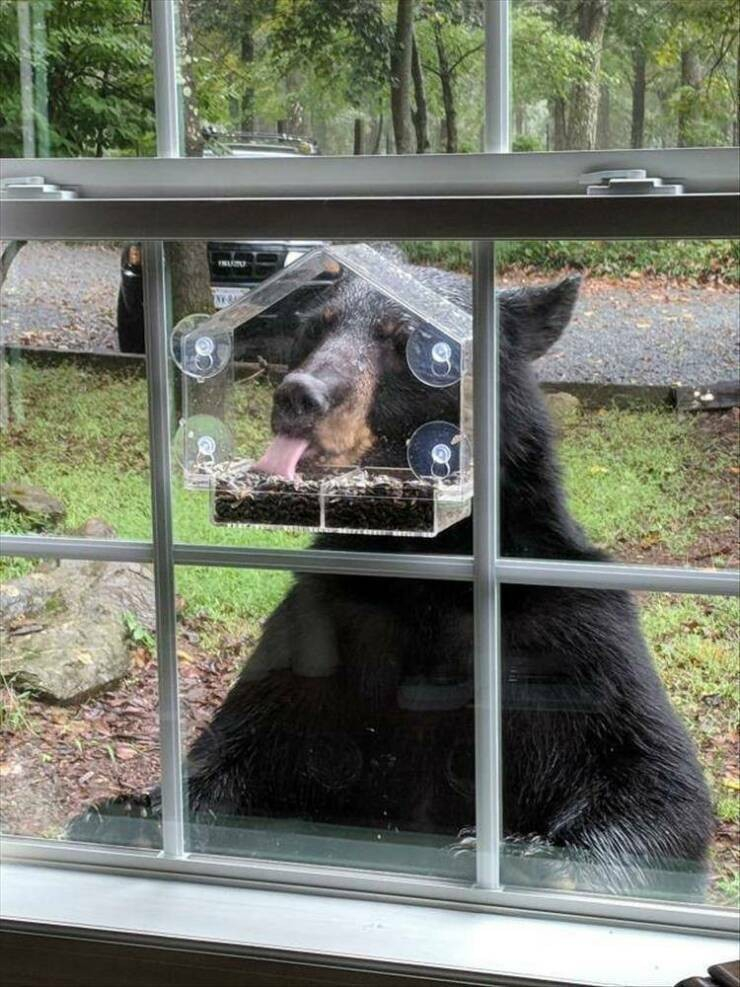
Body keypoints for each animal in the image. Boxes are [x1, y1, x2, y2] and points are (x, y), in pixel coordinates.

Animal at [72, 253, 712, 896]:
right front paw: (129, 814)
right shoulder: (324, 624)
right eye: (315, 328)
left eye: (417, 346)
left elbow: (656, 780)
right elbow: (241, 743)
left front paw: (527, 856)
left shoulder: (567, 633)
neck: (425, 573)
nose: (299, 395)